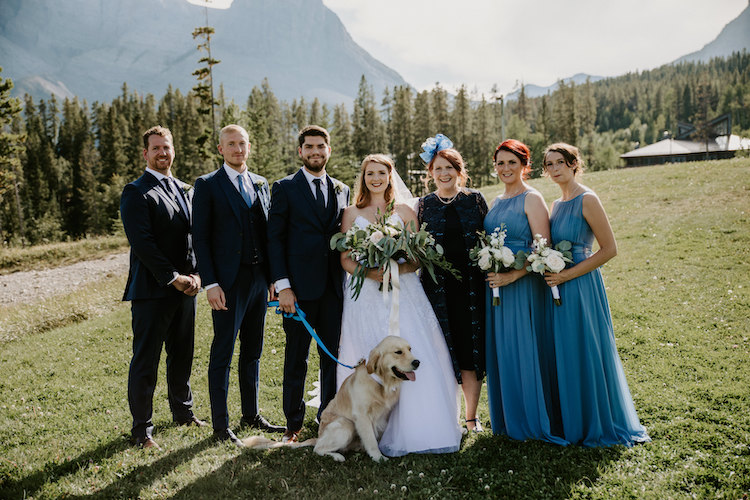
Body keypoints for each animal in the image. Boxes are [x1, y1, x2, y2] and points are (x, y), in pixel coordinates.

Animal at [247, 336, 424, 460]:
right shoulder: (362, 417)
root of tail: (318, 437)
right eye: (398, 352)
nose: (417, 362)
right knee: (318, 449)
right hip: (346, 424)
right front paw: (379, 458)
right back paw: (337, 456)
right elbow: (371, 440)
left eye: (410, 349)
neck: (381, 382)